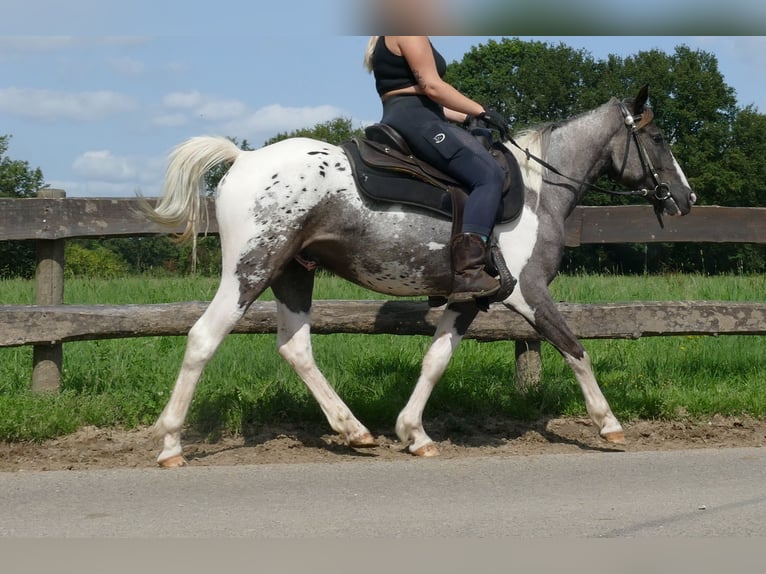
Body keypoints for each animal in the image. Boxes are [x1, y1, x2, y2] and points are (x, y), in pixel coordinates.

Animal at [141, 85, 700, 468]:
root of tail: (244, 158)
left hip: (293, 273)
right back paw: (170, 443)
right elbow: (575, 348)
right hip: (251, 269)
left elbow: (435, 360)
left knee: (295, 348)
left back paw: (354, 430)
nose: (686, 198)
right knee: (203, 337)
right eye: (657, 136)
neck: (539, 190)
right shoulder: (528, 292)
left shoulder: (470, 297)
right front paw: (610, 425)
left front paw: (414, 433)